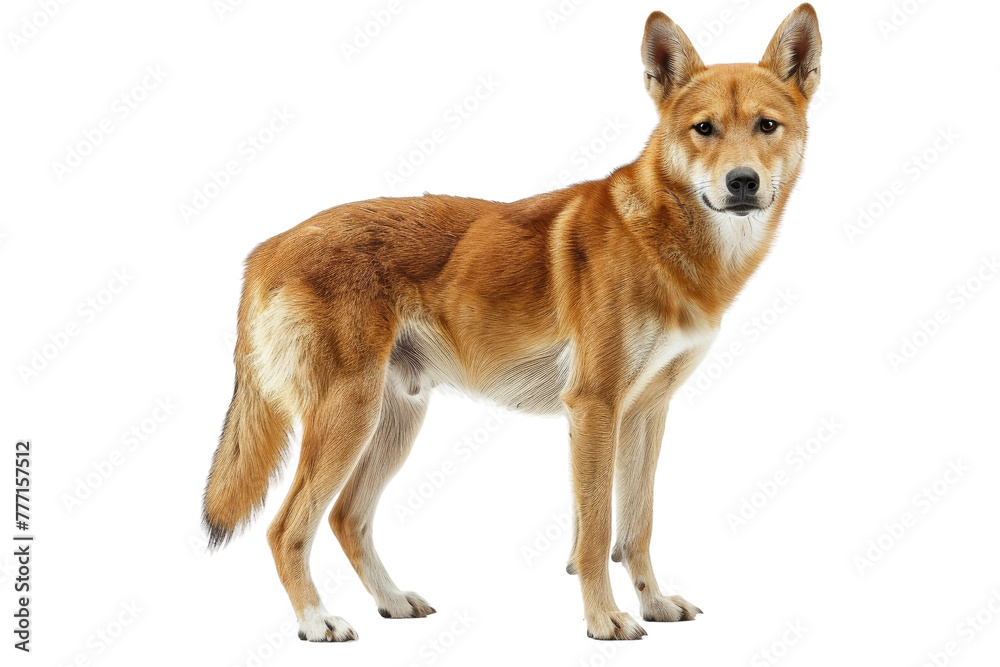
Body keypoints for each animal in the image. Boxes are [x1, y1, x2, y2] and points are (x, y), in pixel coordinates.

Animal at [203, 5, 820, 640]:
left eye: (767, 126)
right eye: (704, 129)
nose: (742, 182)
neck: (663, 241)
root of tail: (268, 248)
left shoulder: (646, 412)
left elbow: (637, 527)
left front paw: (654, 605)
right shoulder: (594, 406)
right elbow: (597, 533)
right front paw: (605, 620)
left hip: (391, 421)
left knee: (347, 518)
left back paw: (393, 600)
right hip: (349, 417)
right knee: (287, 527)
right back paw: (318, 620)